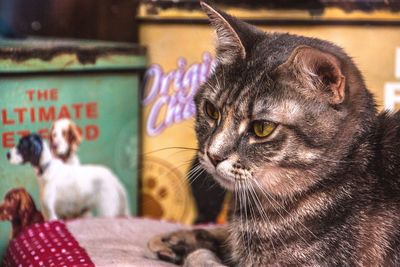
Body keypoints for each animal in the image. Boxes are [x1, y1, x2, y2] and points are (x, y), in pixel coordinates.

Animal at [148, 2, 400, 267]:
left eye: (262, 128)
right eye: (211, 110)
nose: (214, 155)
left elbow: (203, 259)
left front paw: (193, 250)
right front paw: (176, 239)